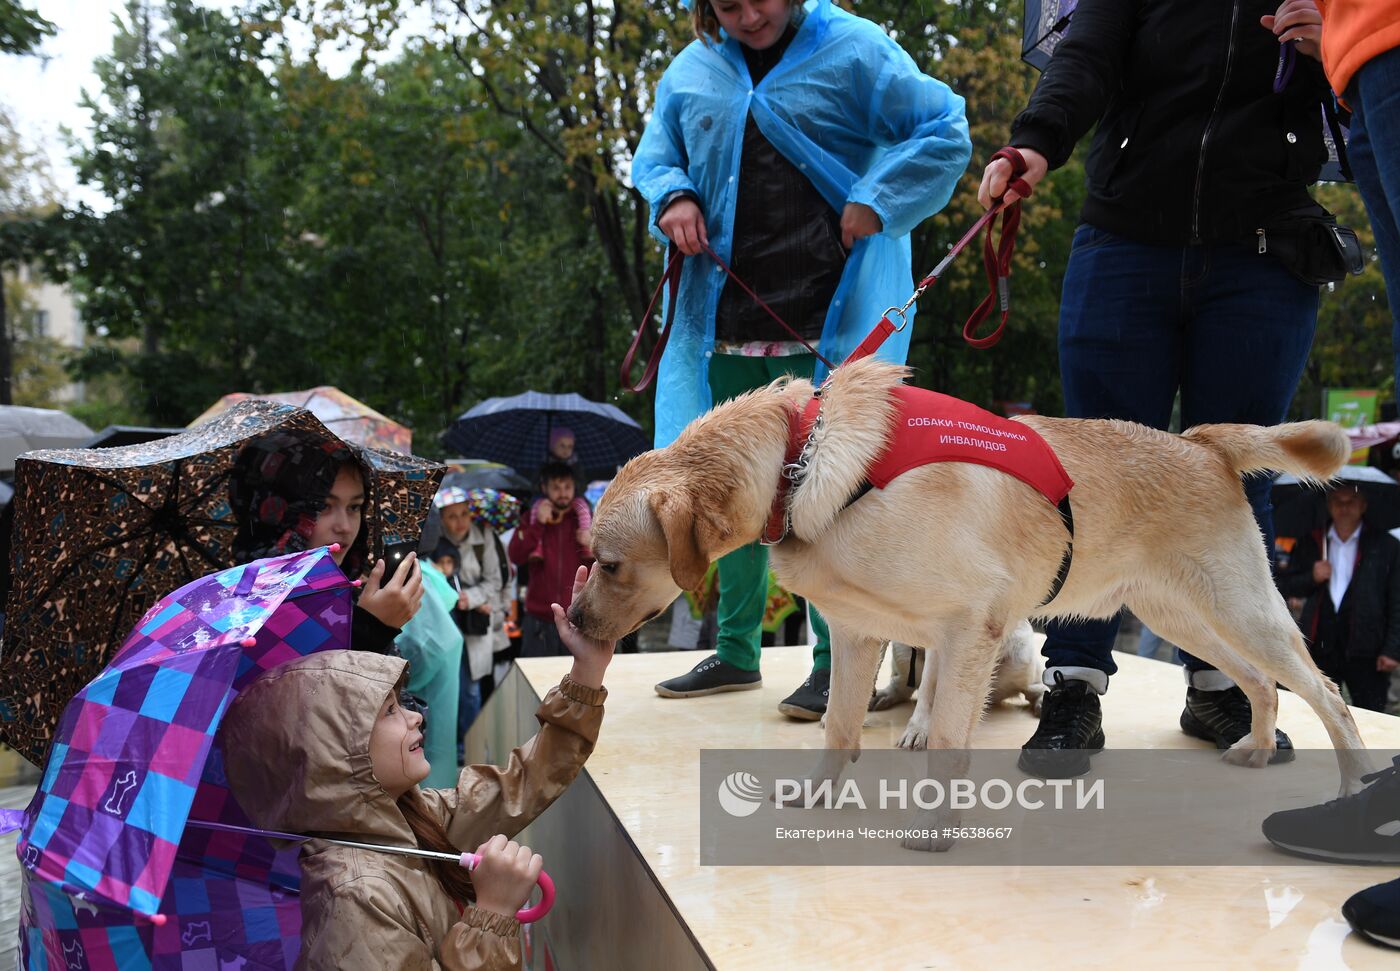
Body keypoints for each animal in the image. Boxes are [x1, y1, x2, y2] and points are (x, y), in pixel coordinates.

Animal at [565, 358, 1366, 800]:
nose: (571, 621)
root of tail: (1200, 442)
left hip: (1242, 608)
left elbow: (948, 731)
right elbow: (841, 727)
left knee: (1327, 690)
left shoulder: (968, 626)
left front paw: (935, 826)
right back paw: (1257, 746)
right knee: (1259, 681)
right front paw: (818, 799)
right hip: (1184, 616)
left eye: (609, 562)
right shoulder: (859, 633)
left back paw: (1352, 788)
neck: (801, 456)